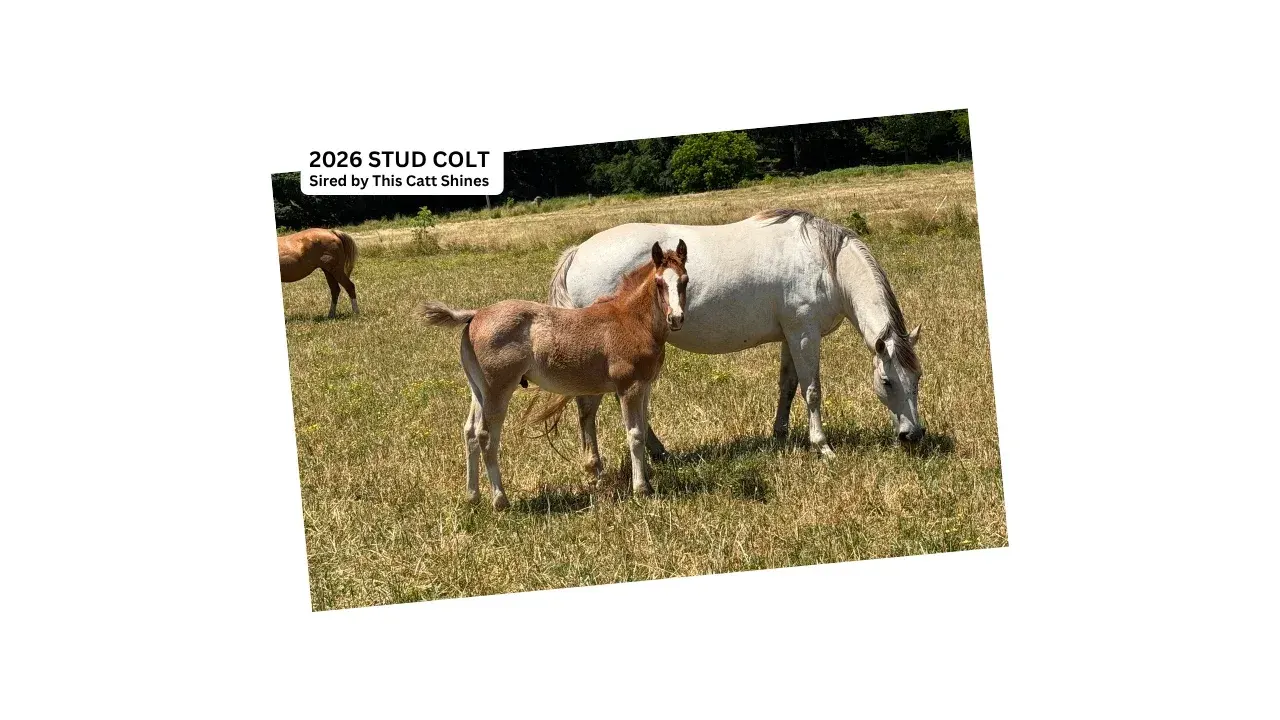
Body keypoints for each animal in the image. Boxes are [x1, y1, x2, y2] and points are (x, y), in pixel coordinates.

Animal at [418, 240, 689, 509]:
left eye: (684, 280)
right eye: (659, 283)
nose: (676, 318)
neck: (631, 320)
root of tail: (476, 315)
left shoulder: (645, 386)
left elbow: (642, 427)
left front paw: (646, 481)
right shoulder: (628, 387)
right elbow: (634, 434)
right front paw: (641, 489)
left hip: (478, 390)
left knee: (471, 432)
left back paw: (473, 497)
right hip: (498, 390)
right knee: (486, 436)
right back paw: (500, 500)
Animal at [548, 209, 922, 468]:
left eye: (917, 379)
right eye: (887, 382)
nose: (913, 435)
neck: (824, 262)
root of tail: (579, 252)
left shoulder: (791, 335)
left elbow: (788, 386)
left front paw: (780, 434)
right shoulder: (805, 334)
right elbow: (812, 391)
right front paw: (823, 446)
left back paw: (658, 452)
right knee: (591, 405)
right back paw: (601, 466)